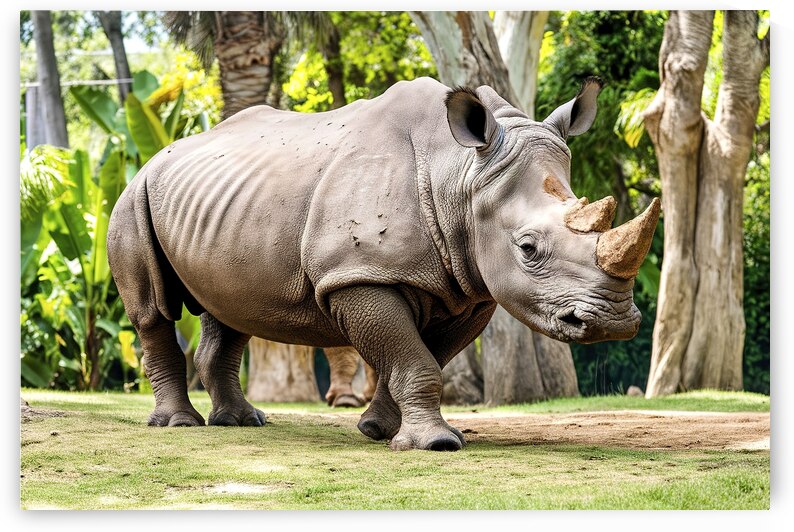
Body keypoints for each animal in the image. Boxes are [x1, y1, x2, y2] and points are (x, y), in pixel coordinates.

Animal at [107, 76, 660, 451]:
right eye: (528, 249)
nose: (612, 322)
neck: (460, 173)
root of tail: (157, 156)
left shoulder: (469, 287)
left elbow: (426, 356)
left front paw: (379, 430)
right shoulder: (357, 275)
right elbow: (414, 358)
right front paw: (436, 445)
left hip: (221, 205)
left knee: (230, 310)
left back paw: (244, 422)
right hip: (133, 196)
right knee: (155, 312)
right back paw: (179, 425)